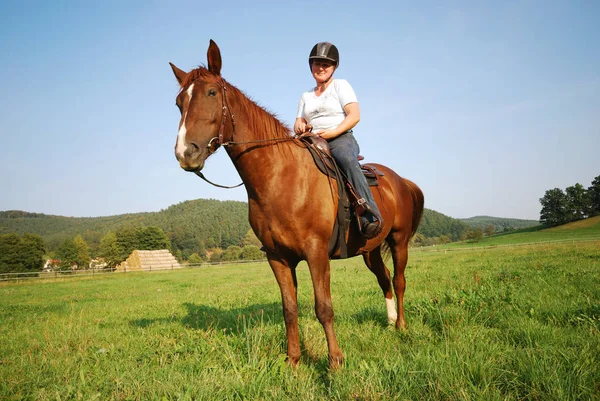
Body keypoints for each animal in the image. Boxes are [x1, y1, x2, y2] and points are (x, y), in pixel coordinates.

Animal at [168, 39, 422, 368]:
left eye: (211, 93)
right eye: (179, 102)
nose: (186, 153)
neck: (280, 177)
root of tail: (400, 180)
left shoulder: (316, 253)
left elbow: (323, 307)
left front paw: (335, 363)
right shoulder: (278, 258)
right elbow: (289, 309)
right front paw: (293, 361)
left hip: (399, 240)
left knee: (400, 280)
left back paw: (401, 326)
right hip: (371, 249)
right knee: (385, 279)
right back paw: (390, 322)